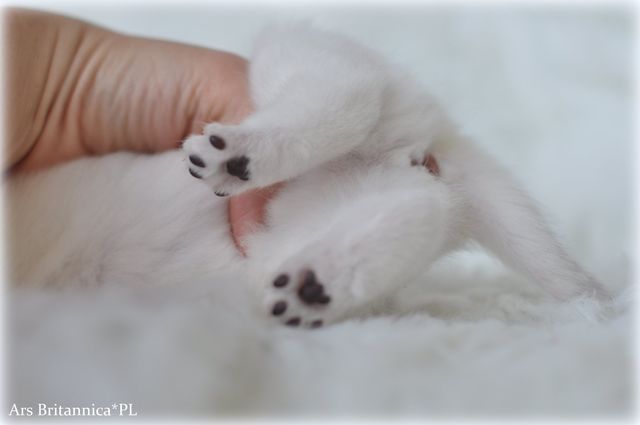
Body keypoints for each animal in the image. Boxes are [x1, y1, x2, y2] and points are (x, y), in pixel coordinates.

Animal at [7, 25, 608, 329]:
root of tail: (426, 141)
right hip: (287, 239)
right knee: (418, 208)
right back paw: (316, 283)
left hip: (303, 58)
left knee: (343, 96)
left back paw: (244, 158)